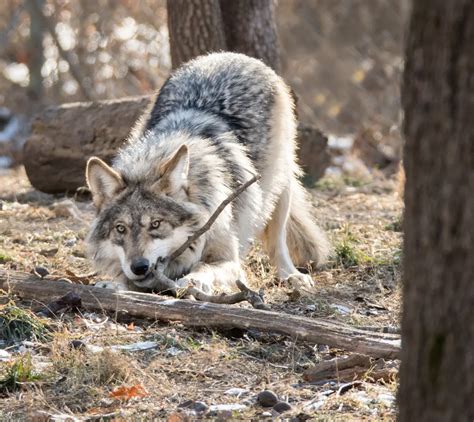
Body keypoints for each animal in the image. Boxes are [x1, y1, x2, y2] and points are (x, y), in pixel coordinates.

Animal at [85, 52, 330, 294]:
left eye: (156, 224)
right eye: (120, 229)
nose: (139, 267)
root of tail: (233, 55)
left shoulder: (228, 260)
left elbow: (205, 267)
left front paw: (193, 280)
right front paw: (114, 283)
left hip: (278, 186)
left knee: (277, 240)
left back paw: (292, 276)